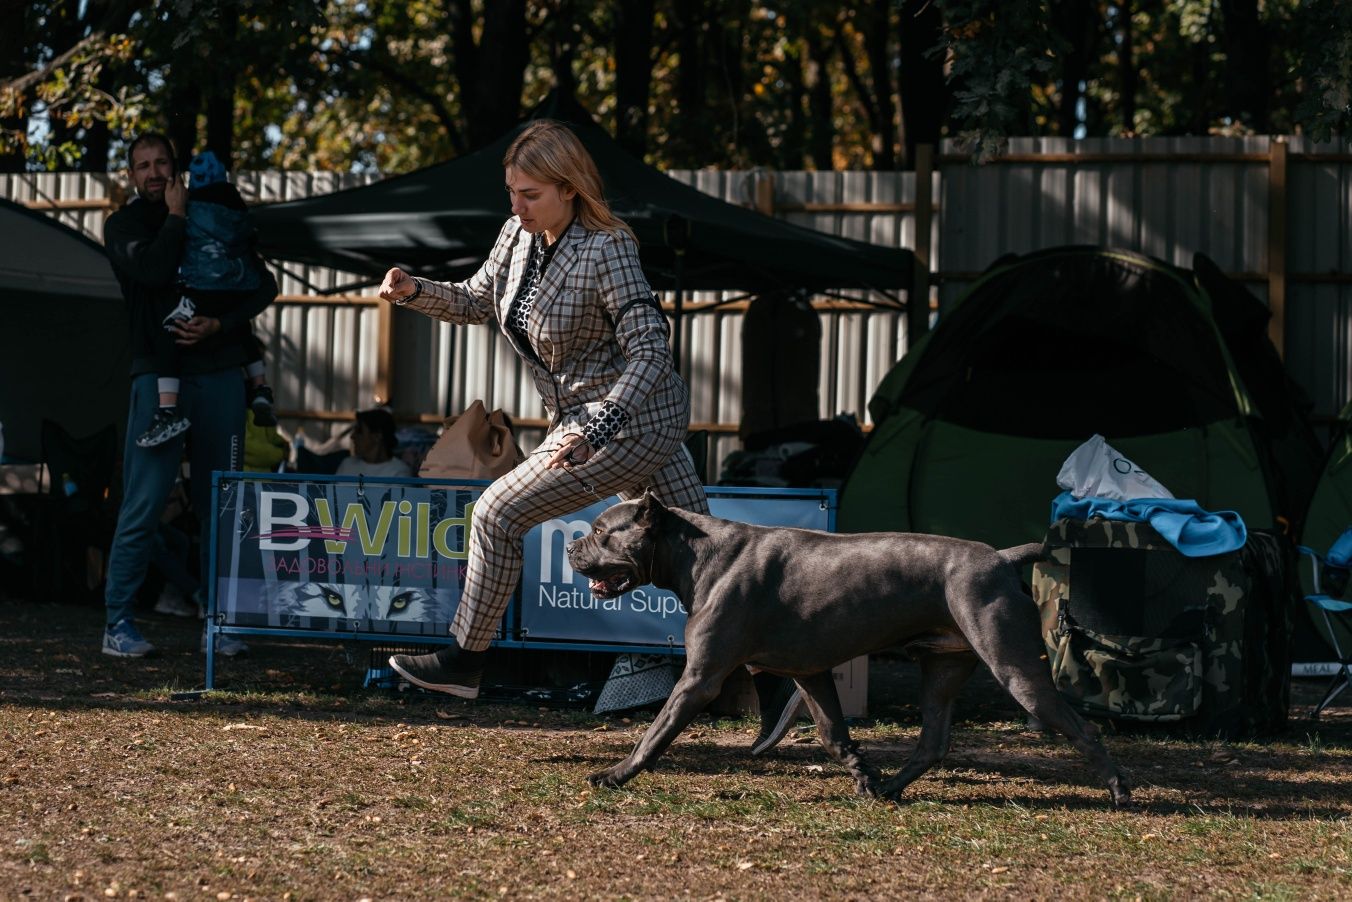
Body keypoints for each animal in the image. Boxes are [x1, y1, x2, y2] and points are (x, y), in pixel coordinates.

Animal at [565, 494, 1135, 811]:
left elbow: (655, 732)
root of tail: (1002, 556)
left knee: (1084, 729)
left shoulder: (700, 678)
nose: (570, 546)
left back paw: (1119, 792)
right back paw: (891, 789)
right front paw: (864, 776)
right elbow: (834, 734)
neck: (697, 553)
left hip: (1015, 668)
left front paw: (614, 775)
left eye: (600, 532)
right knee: (933, 742)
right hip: (942, 671)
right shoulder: (811, 674)